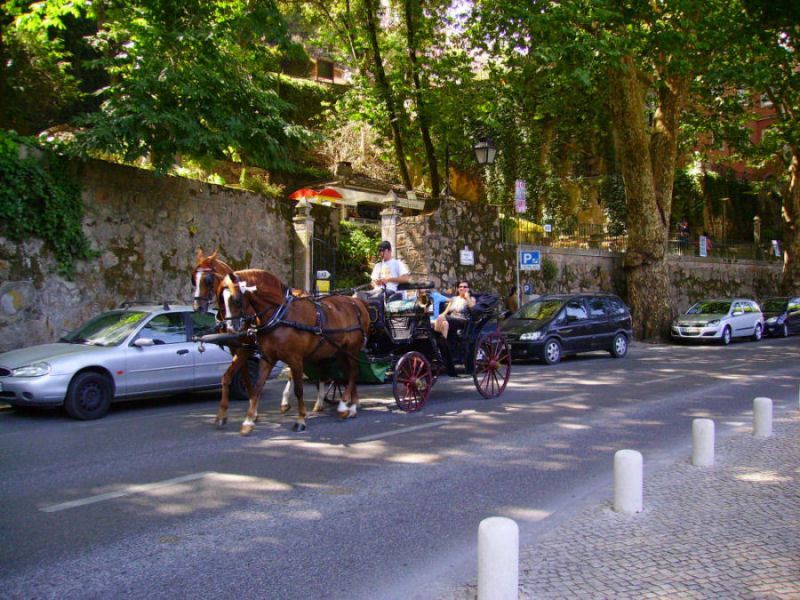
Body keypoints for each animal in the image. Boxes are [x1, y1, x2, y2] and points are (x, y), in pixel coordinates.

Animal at [219, 270, 368, 434]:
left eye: (236, 300)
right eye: (221, 300)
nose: (230, 330)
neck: (279, 315)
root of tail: (357, 302)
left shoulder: (295, 358)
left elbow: (298, 389)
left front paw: (300, 420)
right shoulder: (267, 358)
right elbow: (257, 387)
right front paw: (248, 421)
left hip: (352, 349)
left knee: (352, 373)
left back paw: (345, 407)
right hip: (340, 352)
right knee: (348, 374)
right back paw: (352, 405)